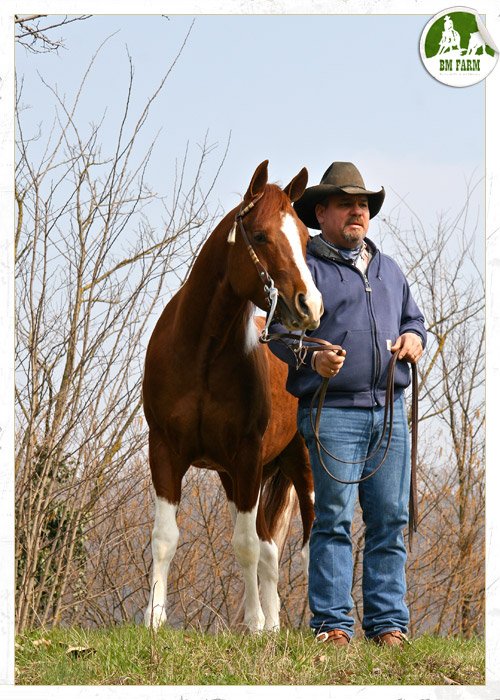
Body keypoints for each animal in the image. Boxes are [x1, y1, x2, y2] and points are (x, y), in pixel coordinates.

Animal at [142, 160, 323, 632]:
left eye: (304, 237)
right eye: (260, 236)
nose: (311, 306)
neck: (202, 353)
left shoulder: (247, 455)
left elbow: (246, 545)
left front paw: (254, 625)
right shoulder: (165, 450)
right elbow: (165, 536)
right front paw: (154, 618)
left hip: (299, 468)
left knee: (300, 545)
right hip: (238, 474)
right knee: (271, 548)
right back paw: (274, 623)